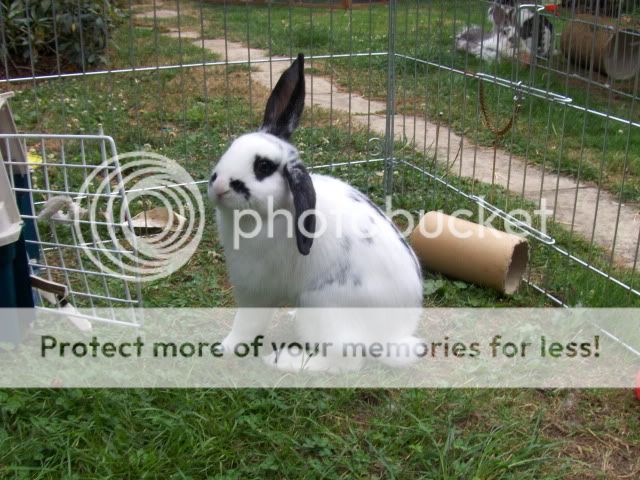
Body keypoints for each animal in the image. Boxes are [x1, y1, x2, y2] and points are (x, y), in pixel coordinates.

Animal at [209, 53, 424, 376]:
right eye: (233, 146)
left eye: (263, 167)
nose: (219, 185)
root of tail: (394, 336)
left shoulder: (255, 288)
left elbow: (246, 325)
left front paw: (224, 348)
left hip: (321, 307)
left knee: (346, 360)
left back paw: (284, 360)